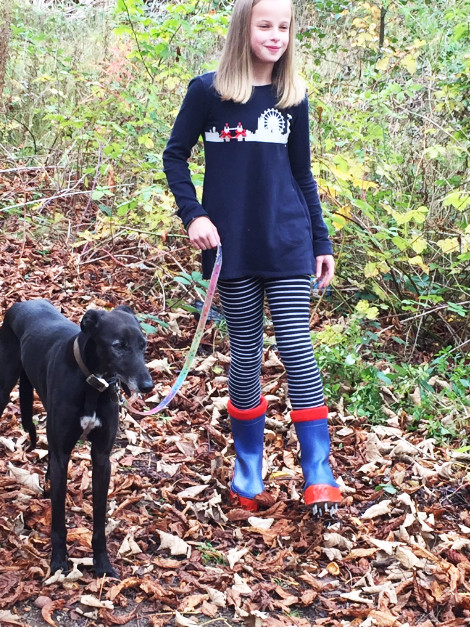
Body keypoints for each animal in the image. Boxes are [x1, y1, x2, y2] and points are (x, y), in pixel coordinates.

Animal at [0, 299, 153, 578]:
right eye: (118, 345)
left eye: (143, 344)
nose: (148, 386)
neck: (92, 383)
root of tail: (23, 303)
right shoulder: (63, 456)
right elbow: (59, 521)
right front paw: (58, 563)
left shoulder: (102, 459)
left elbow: (99, 521)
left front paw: (102, 564)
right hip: (3, 389)